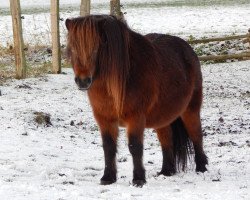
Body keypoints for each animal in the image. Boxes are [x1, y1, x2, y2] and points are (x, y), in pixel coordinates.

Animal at [65, 14, 208, 187]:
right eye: (72, 48)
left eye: (95, 48)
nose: (83, 81)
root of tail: (188, 49)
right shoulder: (104, 119)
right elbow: (108, 147)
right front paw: (108, 177)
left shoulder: (135, 118)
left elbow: (135, 147)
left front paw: (139, 179)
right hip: (163, 117)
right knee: (166, 139)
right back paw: (166, 171)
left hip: (190, 110)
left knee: (196, 135)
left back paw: (201, 168)